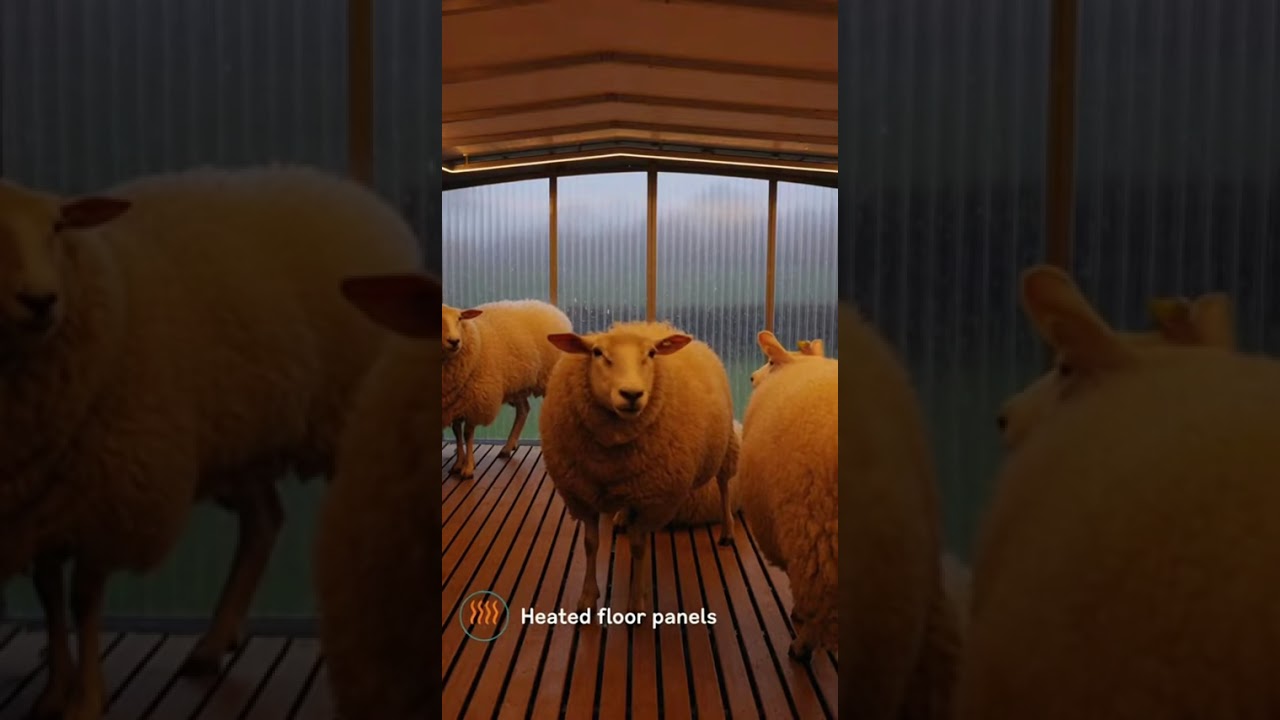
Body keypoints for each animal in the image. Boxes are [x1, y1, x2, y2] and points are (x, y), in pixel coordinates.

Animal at [0, 165, 422, 719]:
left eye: (57, 228)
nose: (41, 301)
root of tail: (347, 193)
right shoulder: (42, 499)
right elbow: (49, 593)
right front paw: (54, 690)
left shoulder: (107, 495)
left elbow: (83, 598)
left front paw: (85, 697)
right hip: (243, 443)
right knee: (264, 522)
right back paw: (211, 644)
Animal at [442, 299, 572, 479]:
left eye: (460, 319)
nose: (454, 341)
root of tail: (550, 308)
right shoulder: (455, 401)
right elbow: (456, 432)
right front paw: (458, 463)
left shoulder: (476, 401)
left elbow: (467, 433)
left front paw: (468, 467)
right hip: (518, 386)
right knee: (523, 410)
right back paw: (507, 447)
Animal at [539, 321, 738, 614]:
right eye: (597, 353)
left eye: (652, 354)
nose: (631, 394)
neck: (609, 460)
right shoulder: (582, 494)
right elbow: (590, 544)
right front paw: (587, 597)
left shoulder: (651, 501)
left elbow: (638, 548)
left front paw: (636, 602)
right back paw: (622, 518)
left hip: (725, 448)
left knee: (724, 485)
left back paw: (727, 532)